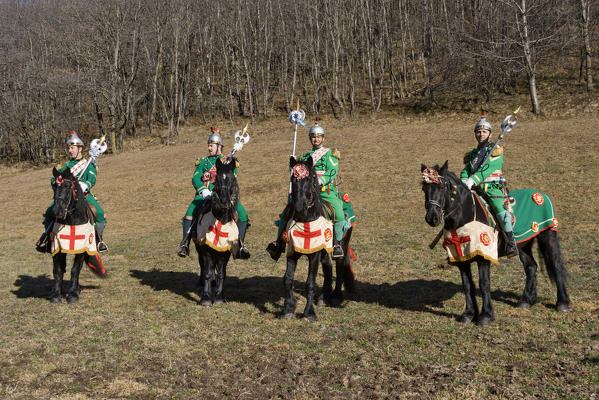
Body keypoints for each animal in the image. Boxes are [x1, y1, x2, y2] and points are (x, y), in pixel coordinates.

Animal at [49, 166, 93, 304]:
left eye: (68, 186)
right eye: (54, 186)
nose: (57, 211)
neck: (71, 220)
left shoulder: (81, 248)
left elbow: (75, 269)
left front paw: (73, 294)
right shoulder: (57, 248)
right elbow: (58, 270)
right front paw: (56, 294)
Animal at [193, 157, 238, 306]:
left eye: (231, 179)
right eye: (217, 180)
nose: (224, 201)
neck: (221, 219)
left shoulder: (225, 251)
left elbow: (221, 274)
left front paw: (219, 297)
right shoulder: (206, 248)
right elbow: (207, 271)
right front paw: (206, 298)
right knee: (203, 265)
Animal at [422, 161, 572, 326]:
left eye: (442, 187)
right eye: (424, 188)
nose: (432, 218)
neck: (465, 215)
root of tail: (542, 195)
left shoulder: (483, 255)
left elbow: (484, 284)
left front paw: (486, 316)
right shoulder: (461, 257)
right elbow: (467, 285)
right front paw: (469, 314)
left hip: (548, 235)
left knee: (556, 266)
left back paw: (562, 303)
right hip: (523, 244)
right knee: (531, 267)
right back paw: (526, 300)